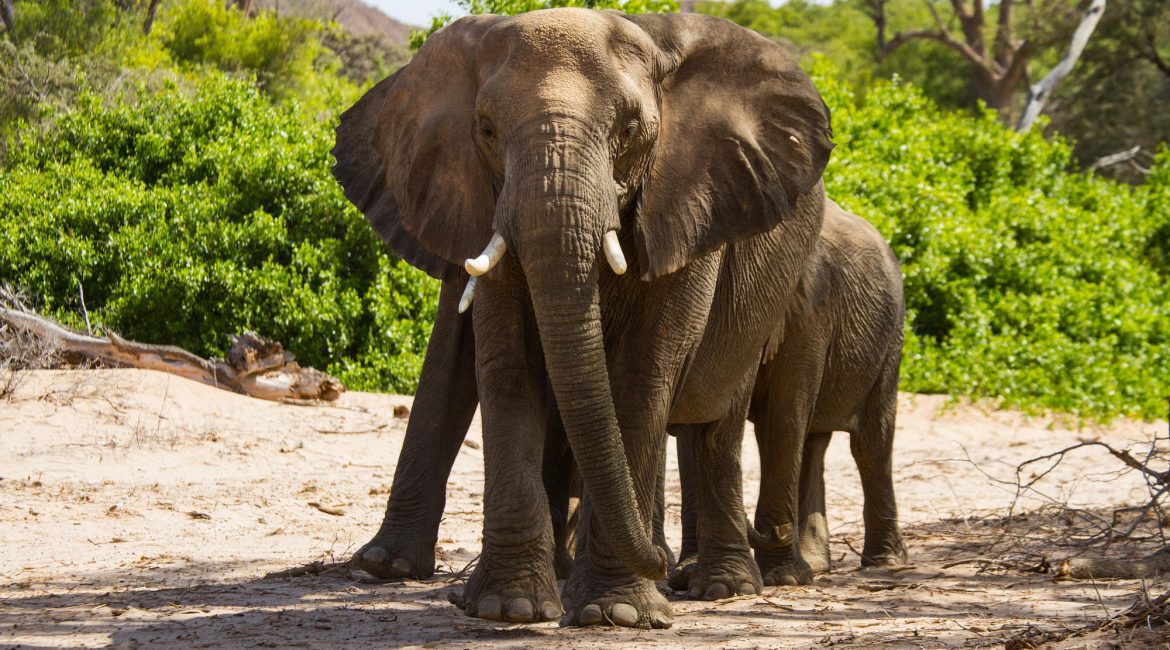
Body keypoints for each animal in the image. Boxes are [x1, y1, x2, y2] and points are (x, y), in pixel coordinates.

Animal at [334, 7, 837, 631]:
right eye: (487, 130)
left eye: (630, 130)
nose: (657, 563)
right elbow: (509, 365)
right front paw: (510, 608)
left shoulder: (689, 199)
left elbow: (642, 374)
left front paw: (614, 613)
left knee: (717, 420)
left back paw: (717, 586)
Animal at [664, 201, 907, 591]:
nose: (772, 531)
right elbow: (696, 425)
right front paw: (688, 576)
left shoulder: (811, 312)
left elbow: (782, 418)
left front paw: (783, 578)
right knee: (814, 443)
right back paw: (814, 562)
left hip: (892, 338)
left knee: (870, 444)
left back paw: (882, 562)